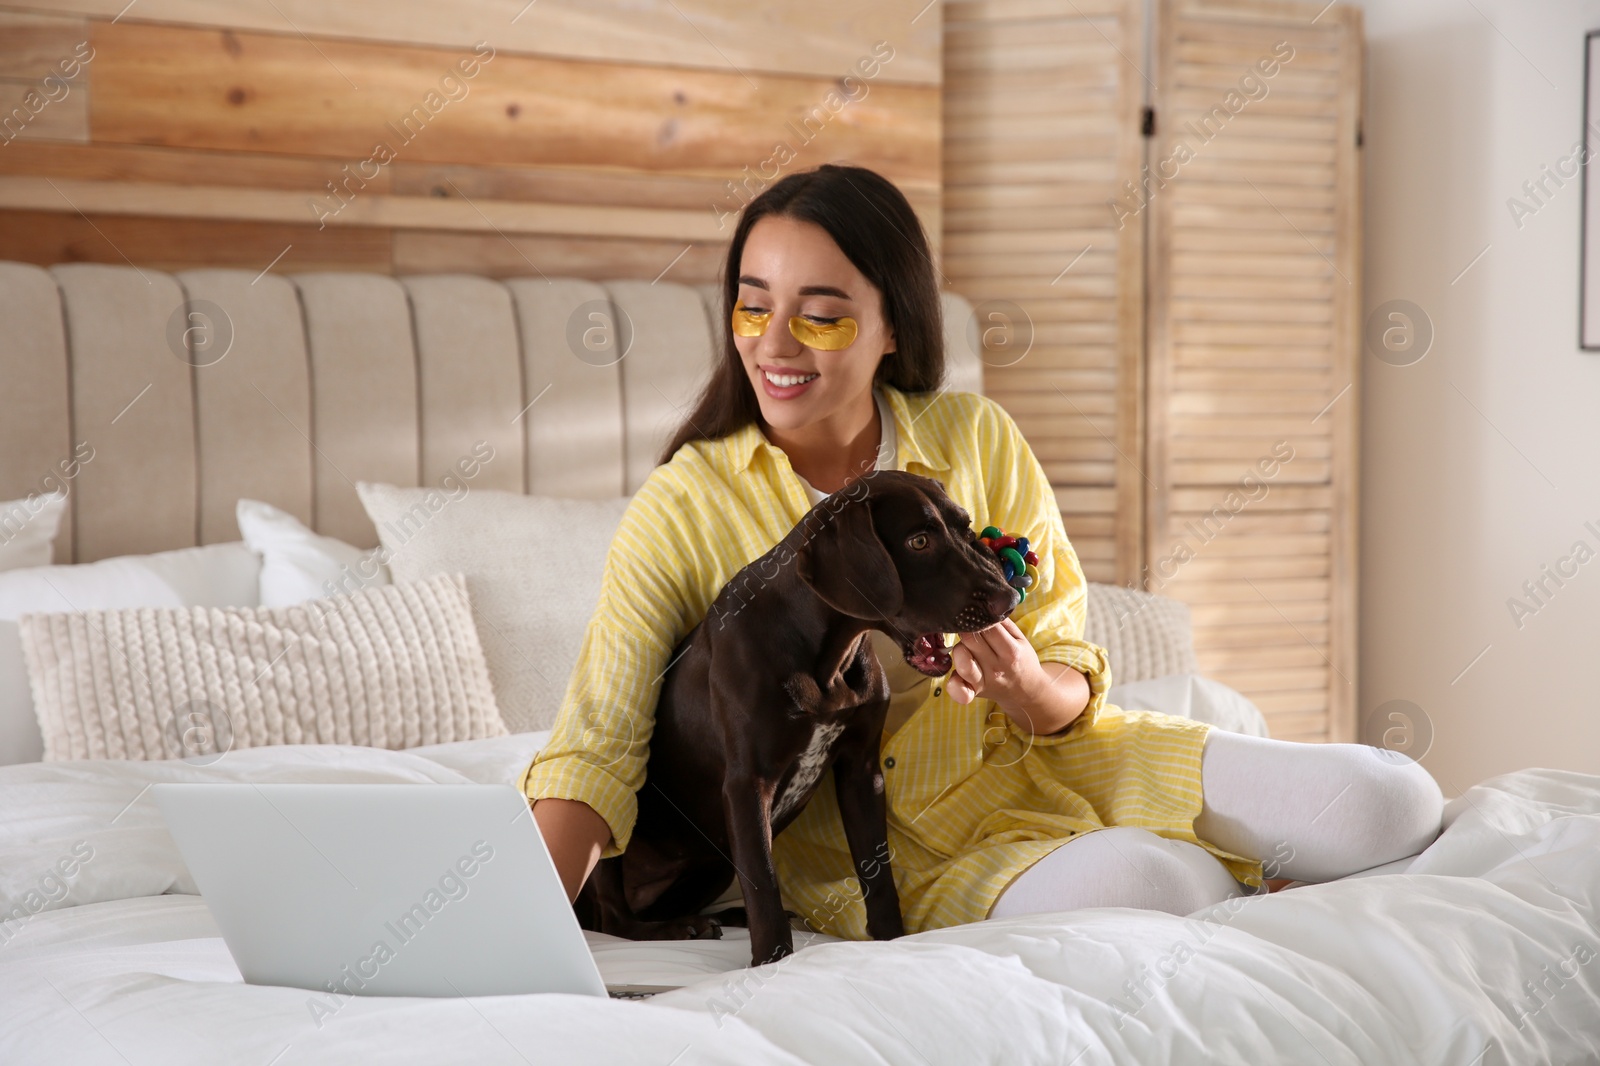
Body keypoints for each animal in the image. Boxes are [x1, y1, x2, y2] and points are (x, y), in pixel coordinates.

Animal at [582, 467, 1017, 960]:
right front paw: (771, 961)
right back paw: (679, 929)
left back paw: (717, 917)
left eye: (966, 528)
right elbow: (763, 880)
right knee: (614, 919)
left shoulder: (861, 772)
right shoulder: (747, 785)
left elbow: (877, 874)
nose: (1008, 600)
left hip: (712, 860)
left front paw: (891, 940)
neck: (825, 657)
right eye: (918, 542)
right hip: (620, 829)